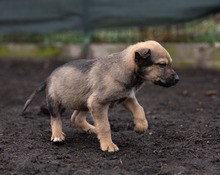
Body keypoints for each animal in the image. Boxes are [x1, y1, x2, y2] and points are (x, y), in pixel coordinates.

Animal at [21, 40, 179, 152]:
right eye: (162, 64)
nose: (178, 80)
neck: (125, 69)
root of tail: (48, 78)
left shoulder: (126, 97)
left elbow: (139, 109)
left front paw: (141, 127)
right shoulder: (98, 103)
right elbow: (105, 126)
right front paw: (108, 145)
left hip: (84, 101)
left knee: (76, 118)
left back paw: (91, 129)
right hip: (56, 102)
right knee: (55, 119)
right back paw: (57, 135)